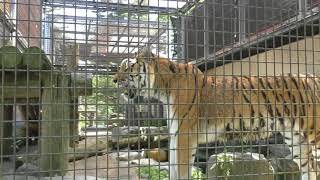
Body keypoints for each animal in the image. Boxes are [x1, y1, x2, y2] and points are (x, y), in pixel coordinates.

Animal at [112, 48, 320, 180]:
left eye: (126, 68)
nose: (113, 80)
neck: (162, 87)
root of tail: (312, 77)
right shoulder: (176, 135)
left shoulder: (185, 136)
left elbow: (182, 171)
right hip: (296, 139)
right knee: (309, 170)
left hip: (314, 135)